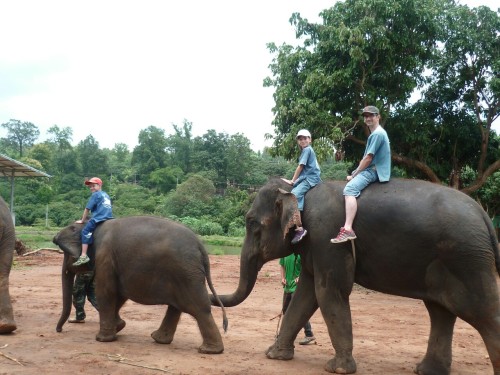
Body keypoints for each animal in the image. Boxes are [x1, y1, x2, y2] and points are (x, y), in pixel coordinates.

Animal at [53, 216, 229, 354]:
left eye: (67, 254)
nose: (59, 330)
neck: (92, 227)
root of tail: (201, 245)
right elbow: (119, 294)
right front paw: (119, 327)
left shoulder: (105, 257)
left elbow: (106, 292)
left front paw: (102, 339)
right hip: (184, 274)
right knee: (177, 306)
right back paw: (159, 339)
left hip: (186, 273)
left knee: (199, 307)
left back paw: (209, 350)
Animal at [211, 179, 500, 375]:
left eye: (251, 222)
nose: (224, 324)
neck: (300, 190)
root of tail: (485, 216)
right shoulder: (315, 245)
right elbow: (306, 295)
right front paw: (274, 355)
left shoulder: (327, 236)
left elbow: (330, 291)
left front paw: (337, 368)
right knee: (440, 311)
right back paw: (426, 370)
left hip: (467, 260)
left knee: (482, 313)